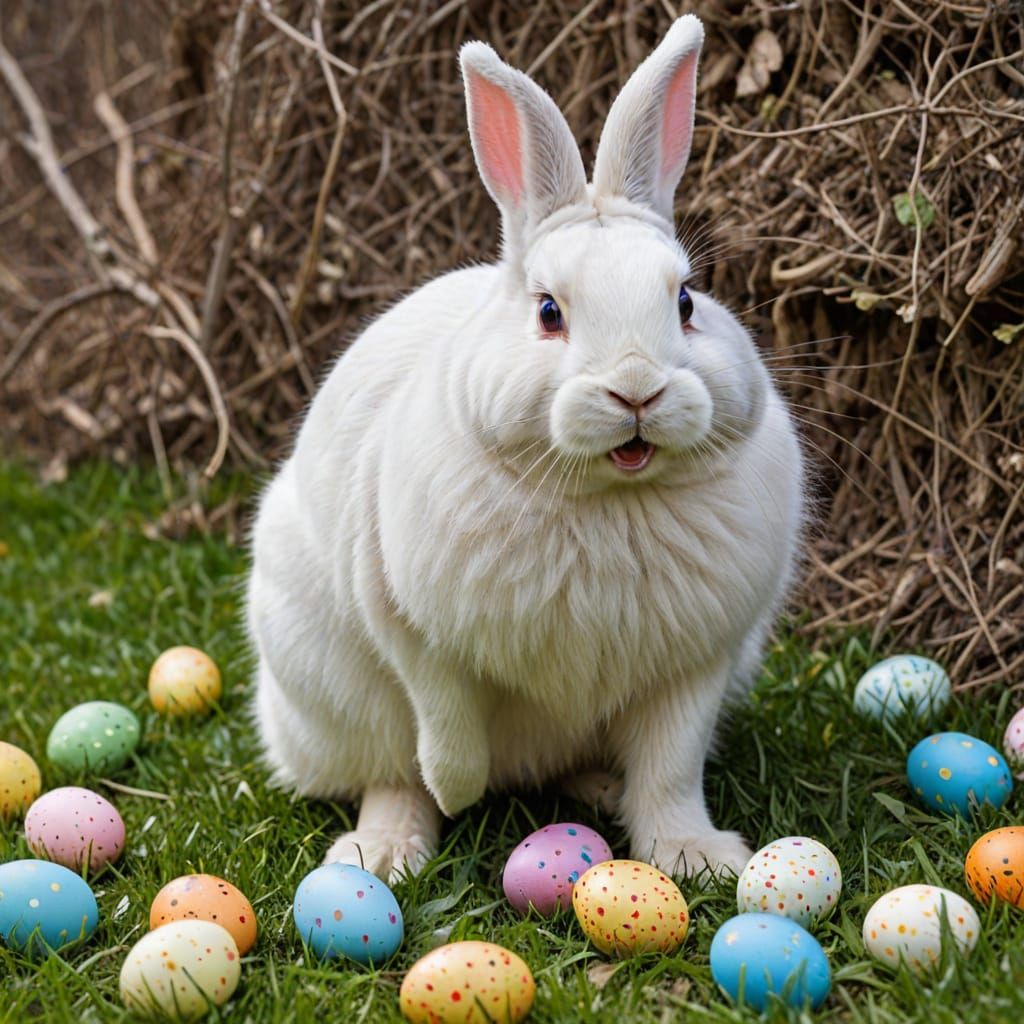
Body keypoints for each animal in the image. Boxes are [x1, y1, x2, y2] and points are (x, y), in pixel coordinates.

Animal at [247, 14, 804, 883]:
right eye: (548, 312)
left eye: (685, 303)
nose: (637, 389)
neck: (608, 499)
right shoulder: (409, 625)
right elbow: (441, 722)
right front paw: (458, 788)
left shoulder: (695, 668)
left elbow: (672, 768)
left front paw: (694, 856)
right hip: (331, 694)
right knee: (387, 769)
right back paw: (386, 851)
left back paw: (600, 787)